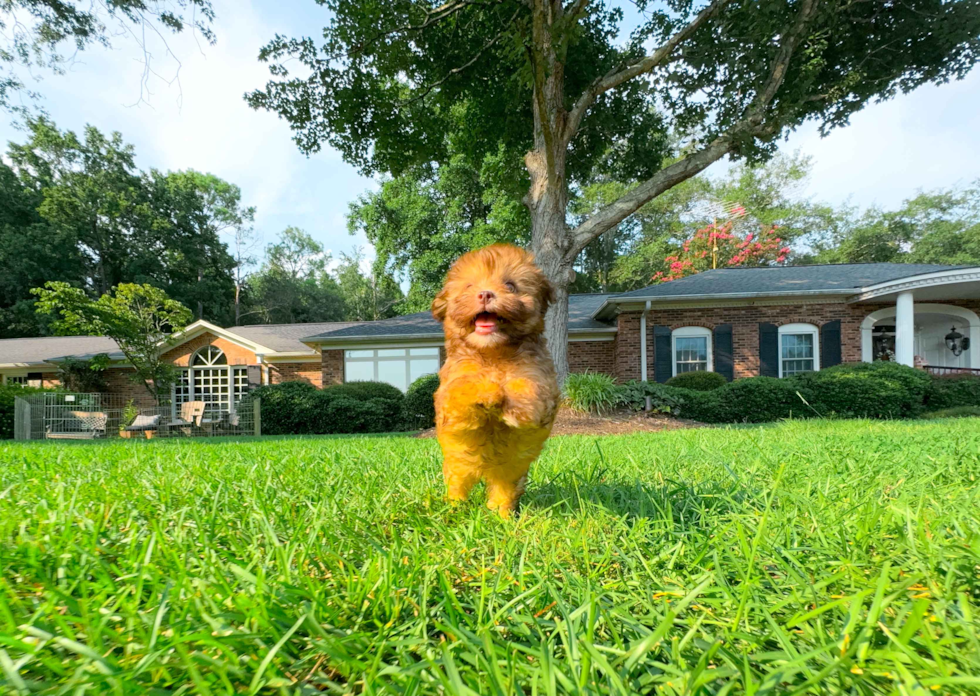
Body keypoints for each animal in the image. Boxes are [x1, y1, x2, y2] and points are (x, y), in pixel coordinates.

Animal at [434, 243, 564, 516]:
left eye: (511, 286)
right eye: (469, 287)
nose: (485, 294)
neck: (493, 353)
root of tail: (486, 471)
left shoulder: (538, 378)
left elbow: (529, 390)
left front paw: (511, 403)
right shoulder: (451, 392)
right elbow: (464, 388)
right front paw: (488, 392)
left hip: (510, 473)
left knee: (502, 492)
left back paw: (501, 516)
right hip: (458, 464)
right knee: (457, 486)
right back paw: (454, 508)